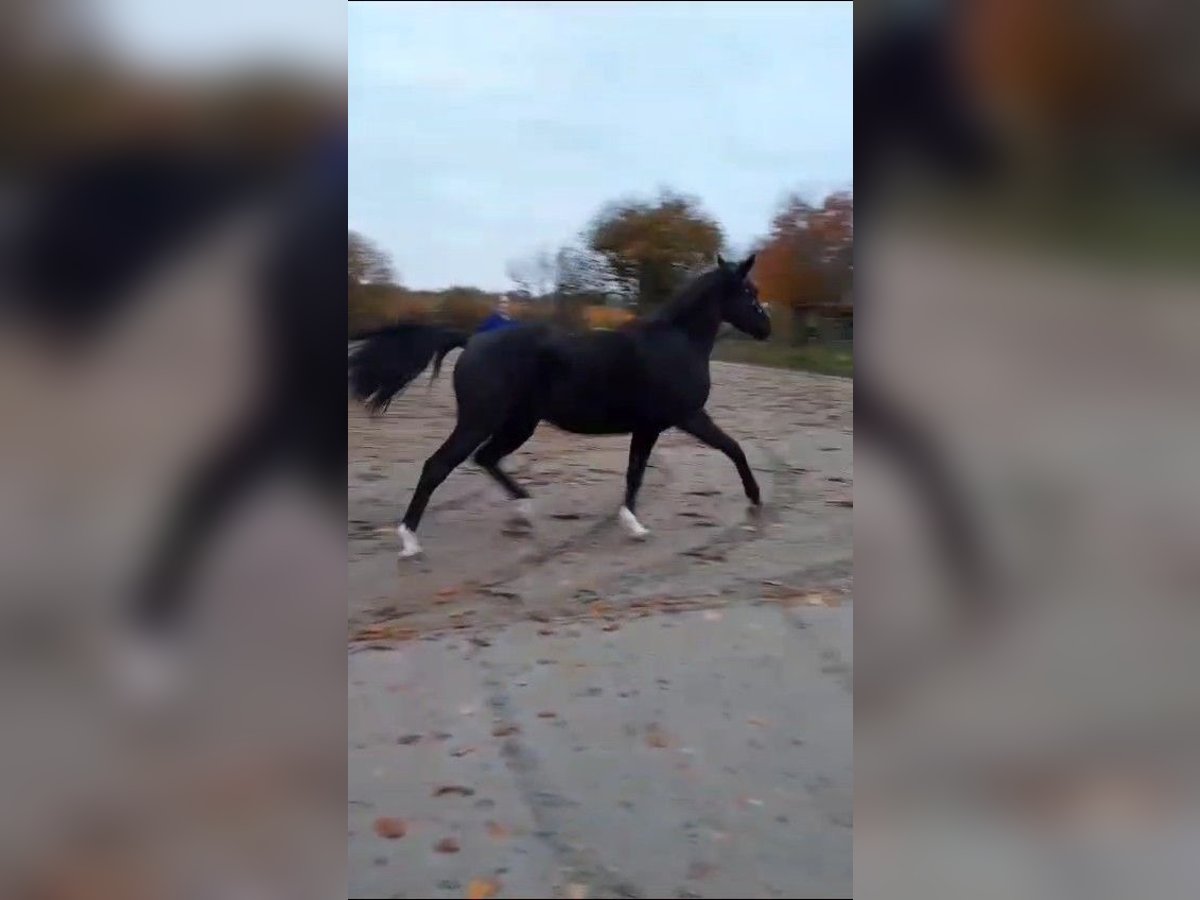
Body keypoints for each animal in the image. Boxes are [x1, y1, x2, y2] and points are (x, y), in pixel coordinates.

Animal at [350, 254, 772, 561]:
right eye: (749, 291)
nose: (767, 329)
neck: (675, 343)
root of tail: (473, 340)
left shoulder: (647, 427)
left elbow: (634, 474)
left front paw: (631, 523)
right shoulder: (688, 417)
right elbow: (733, 447)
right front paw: (755, 499)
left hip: (518, 424)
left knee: (486, 458)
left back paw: (523, 510)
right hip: (479, 421)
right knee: (438, 466)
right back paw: (409, 540)